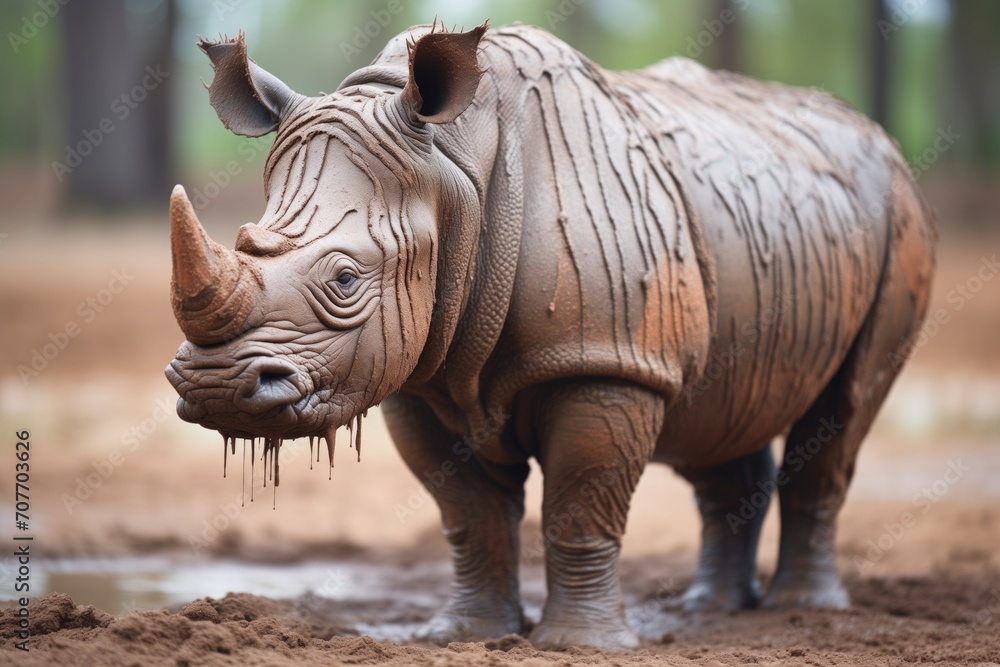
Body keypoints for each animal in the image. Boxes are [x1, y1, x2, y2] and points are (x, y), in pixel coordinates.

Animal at [165, 21, 935, 649]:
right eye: (245, 240)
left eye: (346, 279)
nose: (214, 388)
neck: (452, 169)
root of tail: (882, 141)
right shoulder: (418, 376)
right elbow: (468, 512)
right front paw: (462, 635)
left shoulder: (605, 361)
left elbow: (579, 504)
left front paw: (583, 646)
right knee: (717, 408)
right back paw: (708, 611)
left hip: (897, 215)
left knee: (842, 409)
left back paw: (804, 611)